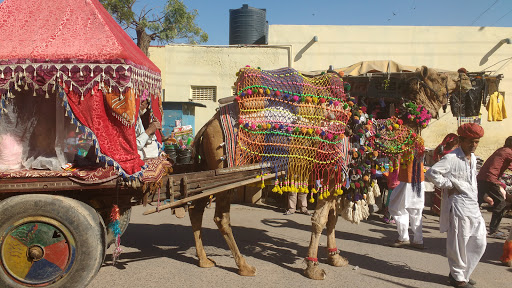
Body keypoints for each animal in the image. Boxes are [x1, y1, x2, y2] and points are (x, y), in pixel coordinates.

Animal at [186, 65, 470, 280]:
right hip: (227, 170)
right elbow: (319, 221)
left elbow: (332, 219)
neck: (366, 133)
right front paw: (313, 267)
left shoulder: (336, 180)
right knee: (220, 216)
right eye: (439, 77)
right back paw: (244, 266)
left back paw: (204, 260)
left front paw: (335, 257)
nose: (465, 77)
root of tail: (205, 128)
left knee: (196, 207)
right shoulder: (334, 174)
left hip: (207, 170)